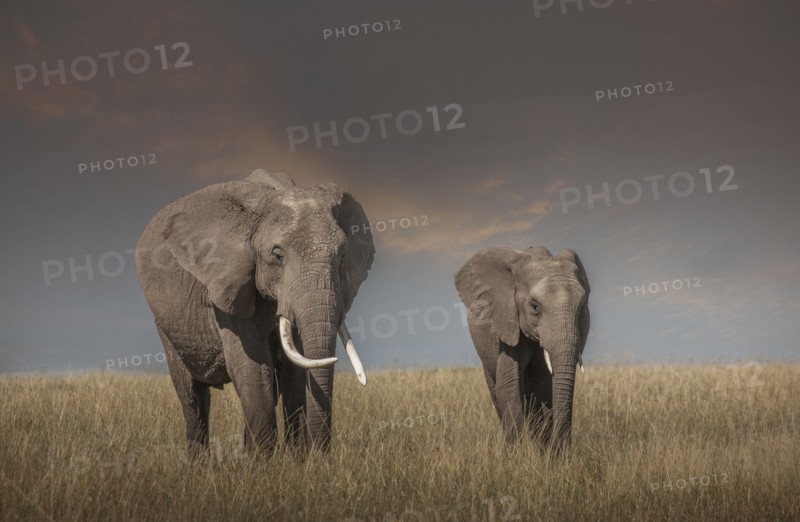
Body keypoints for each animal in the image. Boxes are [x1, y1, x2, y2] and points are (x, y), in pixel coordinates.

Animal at [135, 169, 374, 456]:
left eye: (342, 256)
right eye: (277, 255)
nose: (321, 457)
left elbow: (294, 372)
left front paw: (295, 460)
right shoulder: (228, 286)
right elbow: (253, 366)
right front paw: (264, 463)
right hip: (165, 325)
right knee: (192, 394)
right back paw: (198, 462)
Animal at [454, 246, 589, 450]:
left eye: (582, 308)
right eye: (535, 307)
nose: (562, 447)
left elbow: (543, 390)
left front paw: (544, 451)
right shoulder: (508, 322)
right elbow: (508, 385)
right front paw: (519, 452)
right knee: (496, 391)